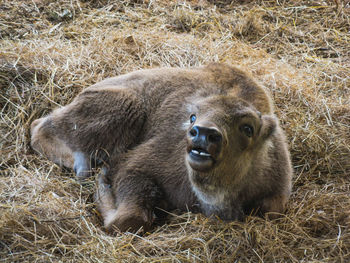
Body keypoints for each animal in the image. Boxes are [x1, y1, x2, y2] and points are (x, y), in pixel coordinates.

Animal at [30, 63, 292, 233]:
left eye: (248, 128)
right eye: (193, 117)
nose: (203, 133)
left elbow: (272, 211)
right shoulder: (135, 166)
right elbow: (129, 219)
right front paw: (103, 181)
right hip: (127, 105)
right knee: (39, 128)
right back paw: (83, 167)